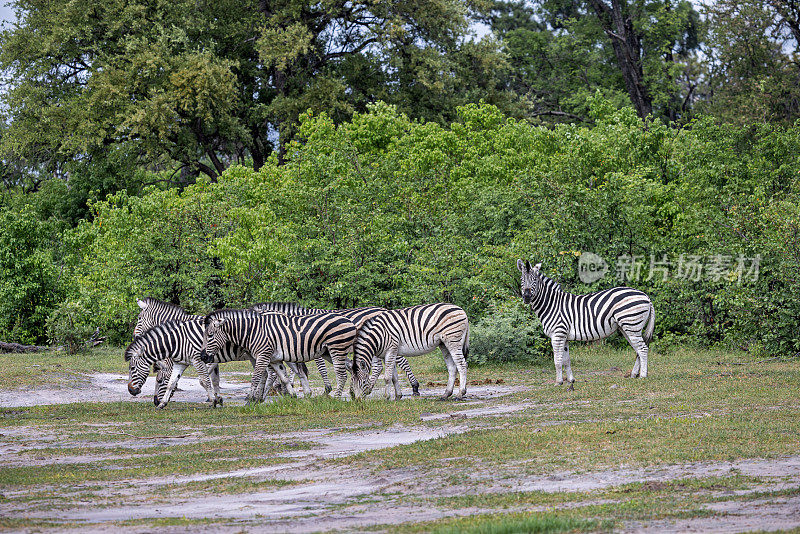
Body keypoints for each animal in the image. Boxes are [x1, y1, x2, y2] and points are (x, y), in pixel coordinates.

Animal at [202, 310, 358, 402]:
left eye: (210, 335)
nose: (203, 357)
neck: (253, 331)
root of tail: (349, 321)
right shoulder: (274, 359)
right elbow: (283, 377)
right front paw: (292, 395)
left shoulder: (262, 355)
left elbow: (256, 377)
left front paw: (251, 399)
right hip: (328, 352)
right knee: (351, 367)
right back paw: (356, 394)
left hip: (336, 348)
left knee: (341, 375)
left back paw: (337, 398)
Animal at [253, 304, 422, 396]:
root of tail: (383, 309)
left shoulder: (313, 347)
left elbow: (320, 368)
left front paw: (327, 389)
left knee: (395, 362)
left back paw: (413, 386)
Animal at [520, 260, 656, 386]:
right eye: (522, 280)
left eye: (534, 280)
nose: (526, 297)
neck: (551, 304)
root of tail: (646, 296)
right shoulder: (564, 336)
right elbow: (566, 360)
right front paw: (571, 380)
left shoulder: (558, 334)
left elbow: (557, 360)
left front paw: (558, 382)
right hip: (627, 328)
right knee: (638, 350)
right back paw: (634, 374)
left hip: (632, 325)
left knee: (643, 349)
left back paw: (643, 376)